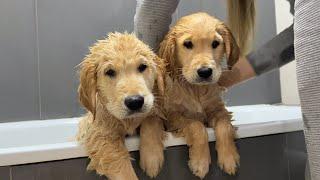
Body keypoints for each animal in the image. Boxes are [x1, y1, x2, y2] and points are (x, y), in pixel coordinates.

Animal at [77, 32, 166, 180]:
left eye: (142, 67)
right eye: (109, 72)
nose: (135, 101)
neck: (128, 121)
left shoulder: (152, 110)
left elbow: (151, 119)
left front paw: (152, 157)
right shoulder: (100, 133)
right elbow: (121, 167)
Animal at [160, 13, 240, 179]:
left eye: (215, 43)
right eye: (188, 44)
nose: (205, 72)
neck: (196, 90)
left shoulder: (218, 110)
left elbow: (224, 127)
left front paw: (229, 158)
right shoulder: (173, 116)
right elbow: (196, 125)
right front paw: (200, 162)